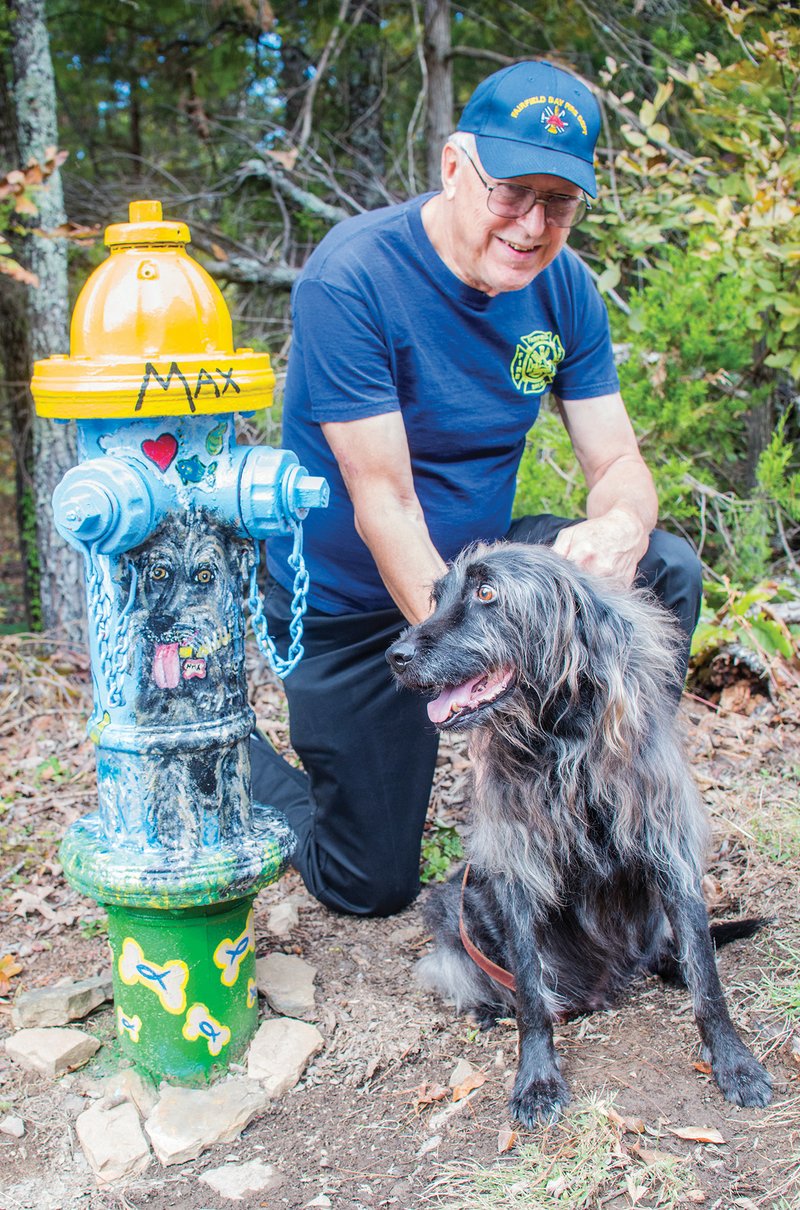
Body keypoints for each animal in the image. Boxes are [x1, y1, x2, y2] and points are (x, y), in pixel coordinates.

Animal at [387, 544, 774, 1127]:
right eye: (437, 597)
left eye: (486, 593)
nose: (396, 654)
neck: (561, 746)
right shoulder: (516, 874)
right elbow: (530, 994)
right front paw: (536, 1080)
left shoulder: (672, 854)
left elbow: (709, 984)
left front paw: (734, 1063)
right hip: (456, 904)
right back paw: (489, 1007)